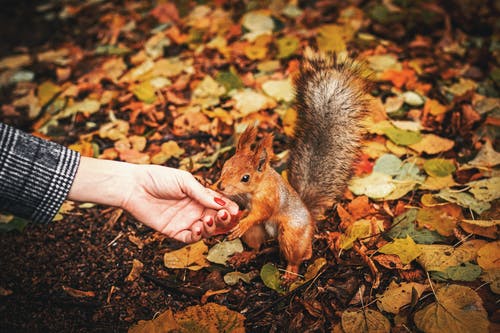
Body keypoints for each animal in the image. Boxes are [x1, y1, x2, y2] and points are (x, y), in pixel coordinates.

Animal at [215, 48, 372, 278]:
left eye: (246, 178)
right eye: (225, 166)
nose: (221, 186)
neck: (254, 190)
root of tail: (310, 218)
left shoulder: (269, 198)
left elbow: (260, 213)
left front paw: (244, 220)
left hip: (292, 235)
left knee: (299, 255)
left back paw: (291, 271)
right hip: (257, 234)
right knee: (257, 246)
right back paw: (245, 255)